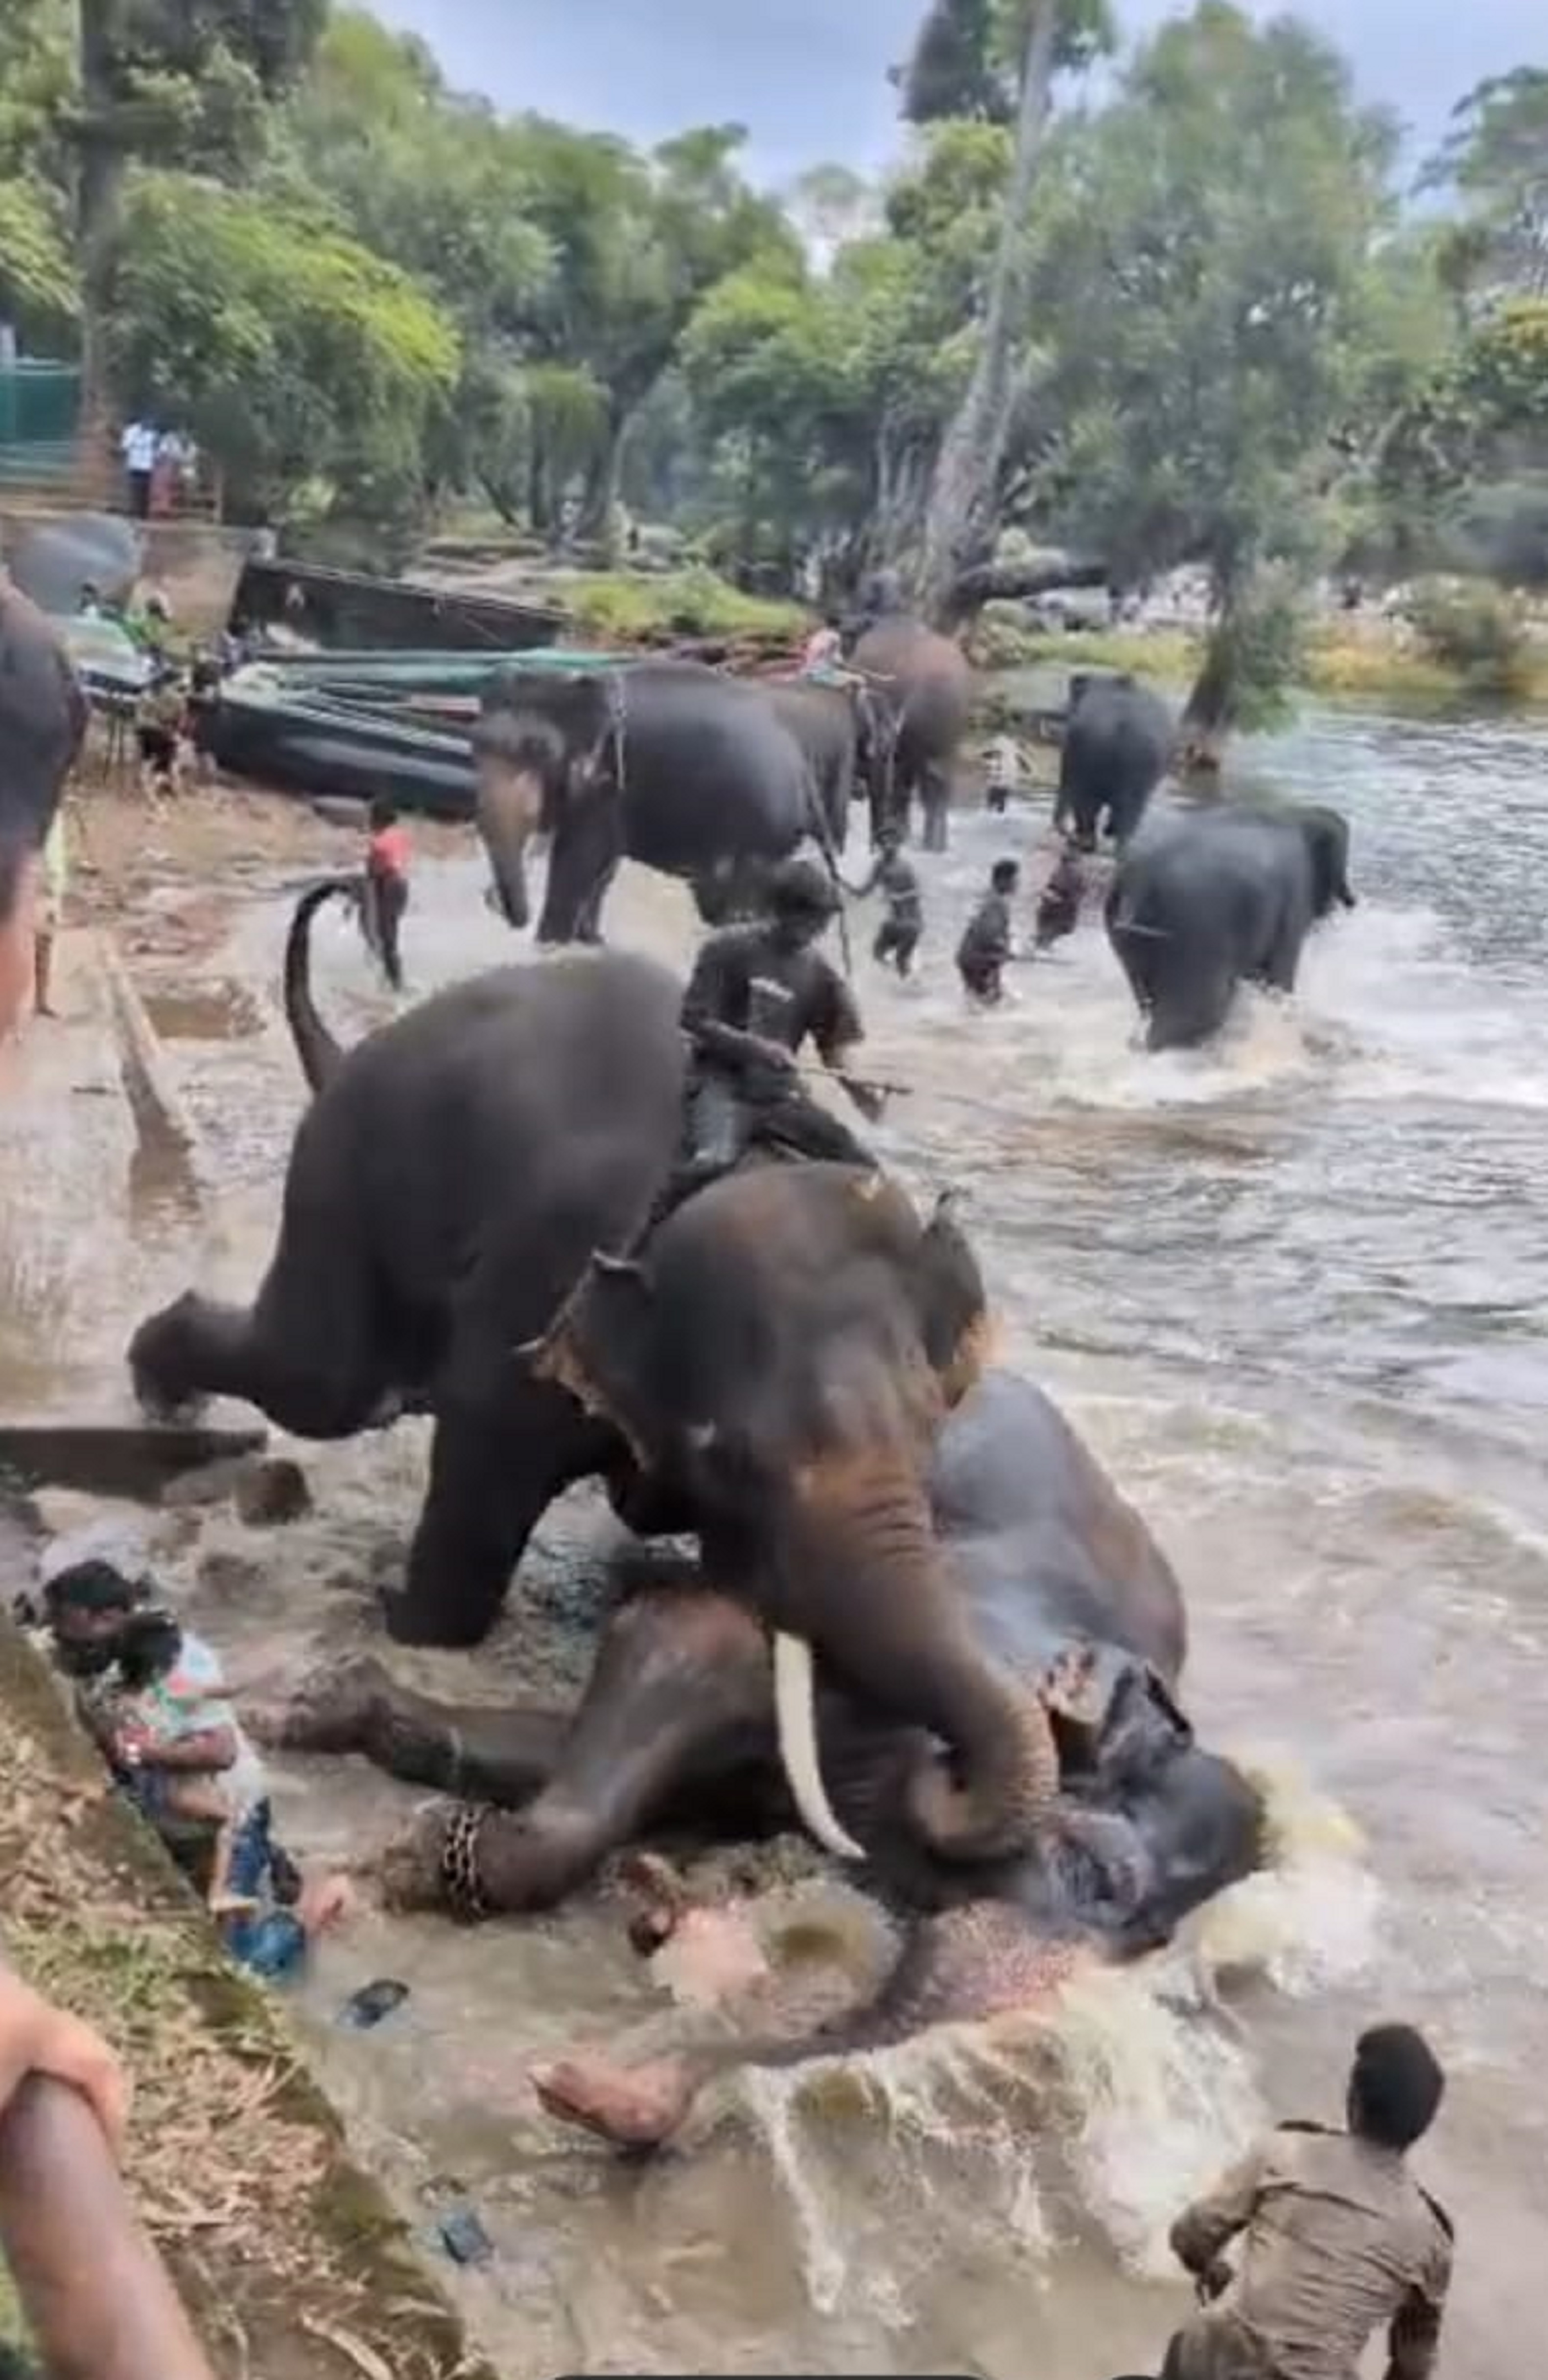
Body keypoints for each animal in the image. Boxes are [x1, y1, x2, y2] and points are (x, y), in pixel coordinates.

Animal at [129, 885, 1060, 1865]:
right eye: (732, 1456)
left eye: (930, 1437)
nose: (943, 1777)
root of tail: (362, 1049)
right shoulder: (536, 1297)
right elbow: (479, 1470)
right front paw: (398, 1610)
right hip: (343, 1179)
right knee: (323, 1383)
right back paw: (164, 1396)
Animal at [261, 1369, 1265, 2150]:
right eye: (1097, 1875)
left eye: (1153, 1940)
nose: (573, 2084)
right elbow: (676, 1638)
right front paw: (406, 1828)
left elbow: (604, 1754)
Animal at [472, 657, 840, 943]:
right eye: (476, 744)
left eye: (540, 752)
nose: (493, 901)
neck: (574, 683)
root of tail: (803, 768)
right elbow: (604, 865)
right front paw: (590, 940)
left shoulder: (614, 782)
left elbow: (578, 859)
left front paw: (550, 944)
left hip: (761, 828)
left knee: (733, 885)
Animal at [1105, 801, 1358, 1051]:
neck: (1297, 815)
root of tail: (1138, 882)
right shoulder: (1293, 902)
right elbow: (1279, 974)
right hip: (1193, 933)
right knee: (1196, 1012)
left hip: (1127, 938)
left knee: (1146, 998)